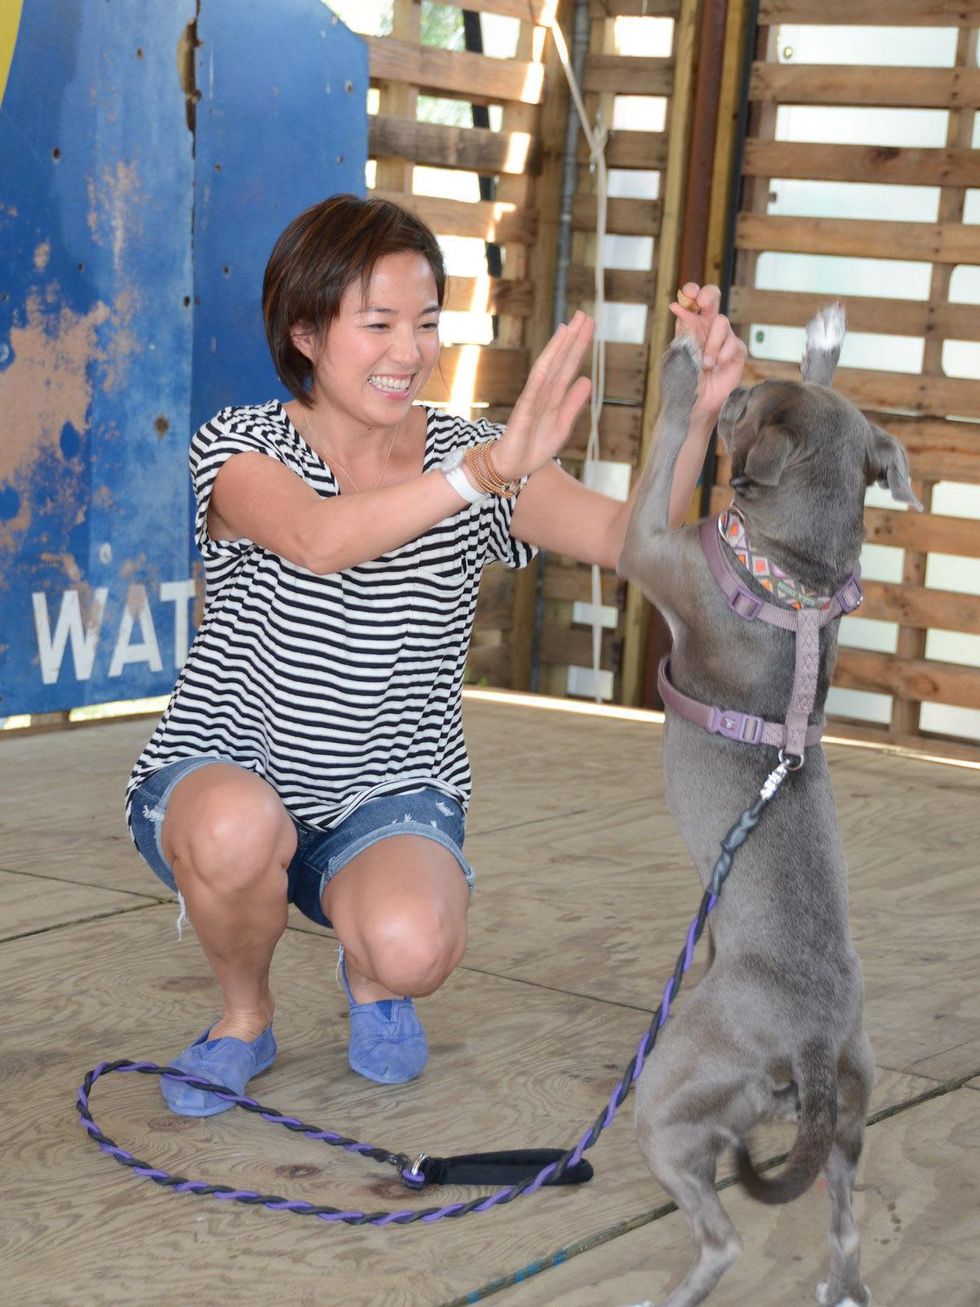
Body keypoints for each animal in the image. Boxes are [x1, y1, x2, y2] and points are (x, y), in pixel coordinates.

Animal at [616, 305, 925, 1307]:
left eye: (748, 408)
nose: (739, 379)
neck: (800, 574)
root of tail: (817, 1047)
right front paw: (824, 340)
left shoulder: (648, 543)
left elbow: (665, 443)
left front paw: (685, 367)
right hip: (854, 1122)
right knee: (846, 1232)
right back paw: (838, 1287)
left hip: (669, 1099)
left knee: (721, 1241)